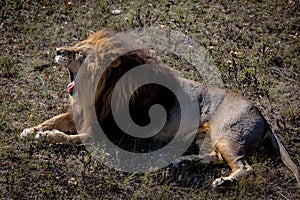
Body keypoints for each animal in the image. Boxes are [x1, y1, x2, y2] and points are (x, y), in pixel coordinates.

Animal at [19, 29, 298, 188]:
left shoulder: (102, 132)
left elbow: (68, 137)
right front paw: (31, 129)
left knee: (244, 167)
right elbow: (54, 119)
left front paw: (46, 136)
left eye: (80, 54)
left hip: (228, 135)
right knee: (213, 157)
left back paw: (223, 182)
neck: (97, 88)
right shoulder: (81, 114)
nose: (57, 50)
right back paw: (182, 162)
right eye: (77, 46)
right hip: (206, 137)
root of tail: (261, 115)